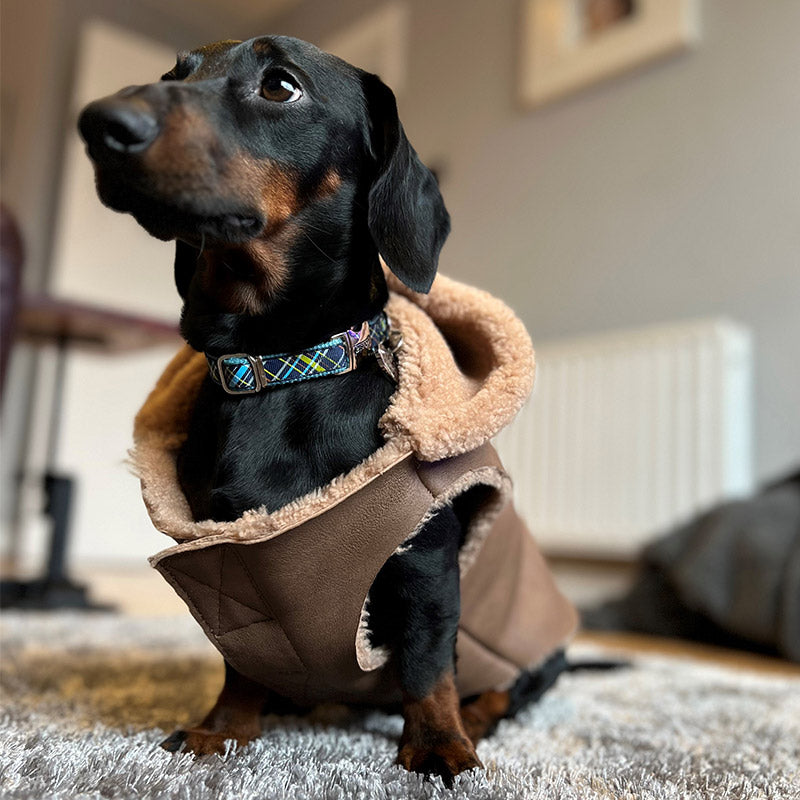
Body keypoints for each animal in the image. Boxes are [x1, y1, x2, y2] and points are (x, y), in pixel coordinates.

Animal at [79, 36, 576, 780]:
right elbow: (242, 662)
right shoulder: (235, 561)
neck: (277, 367)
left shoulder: (425, 560)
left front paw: (439, 744)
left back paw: (478, 718)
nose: (99, 123)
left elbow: (428, 662)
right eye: (175, 73)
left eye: (281, 86)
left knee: (513, 688)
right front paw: (222, 730)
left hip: (538, 649)